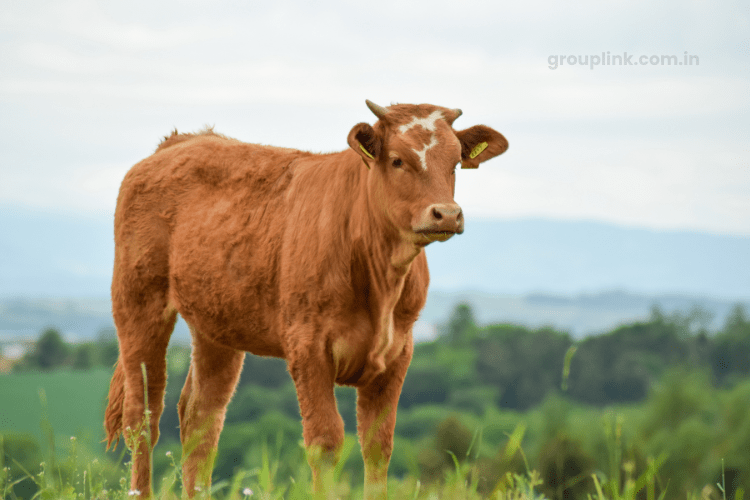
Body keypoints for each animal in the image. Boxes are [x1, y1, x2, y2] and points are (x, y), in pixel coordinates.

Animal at [104, 100, 508, 498]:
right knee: (142, 418)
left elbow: (378, 444)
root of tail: (185, 140)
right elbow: (325, 441)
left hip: (216, 327)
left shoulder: (398, 352)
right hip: (138, 303)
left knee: (200, 418)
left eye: (455, 162)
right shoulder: (308, 345)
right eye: (397, 160)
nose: (447, 213)